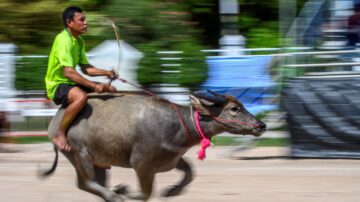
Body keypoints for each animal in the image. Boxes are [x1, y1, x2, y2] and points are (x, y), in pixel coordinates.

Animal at [40, 91, 266, 202]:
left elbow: (190, 173)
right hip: (81, 155)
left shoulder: (173, 159)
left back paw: (112, 192)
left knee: (89, 184)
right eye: (234, 108)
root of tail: (56, 121)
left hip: (99, 162)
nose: (261, 125)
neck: (177, 125)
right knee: (87, 182)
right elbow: (145, 194)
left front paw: (171, 192)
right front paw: (125, 192)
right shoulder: (142, 165)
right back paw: (115, 195)